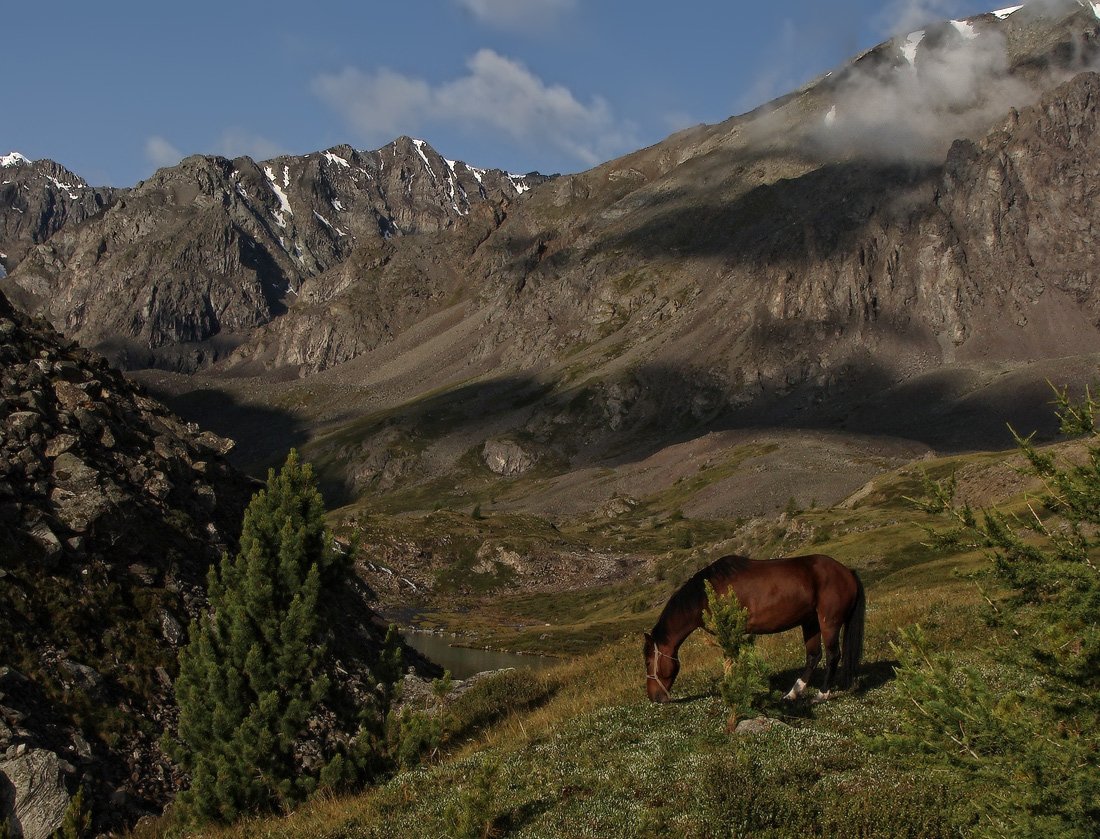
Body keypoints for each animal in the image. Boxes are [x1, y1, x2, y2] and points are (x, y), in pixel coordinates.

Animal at [642, 558, 866, 703]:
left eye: (648, 662)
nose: (654, 698)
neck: (705, 594)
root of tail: (847, 572)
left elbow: (730, 663)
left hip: (829, 623)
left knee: (832, 655)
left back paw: (821, 695)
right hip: (810, 623)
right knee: (813, 656)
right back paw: (793, 694)